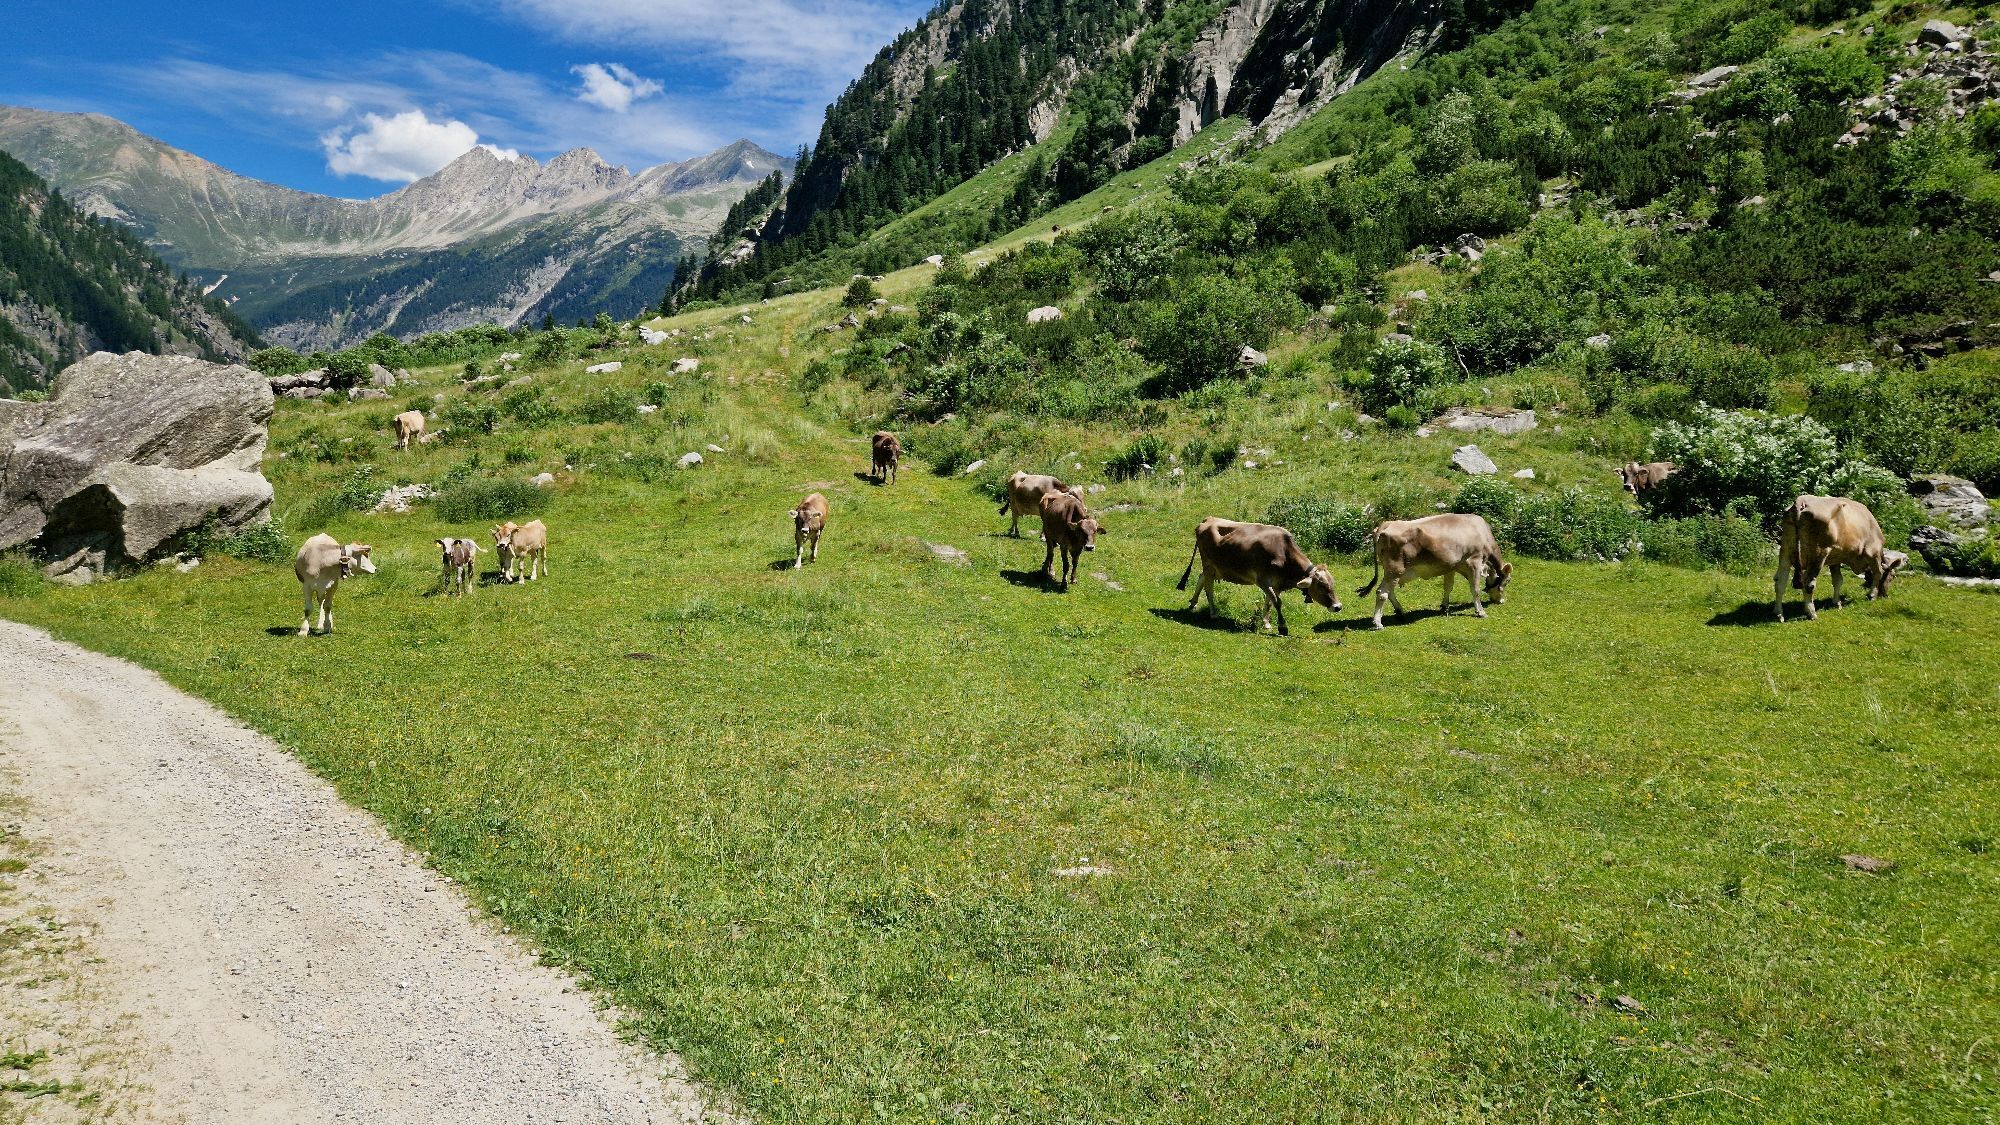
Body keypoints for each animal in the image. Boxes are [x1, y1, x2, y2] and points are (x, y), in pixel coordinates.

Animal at [1176, 518, 1340, 635]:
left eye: (1333, 584)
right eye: (1322, 586)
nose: (1338, 607)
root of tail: (1208, 519)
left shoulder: (1276, 583)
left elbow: (1269, 602)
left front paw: (1266, 623)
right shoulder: (1262, 580)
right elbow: (1277, 602)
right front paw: (1282, 627)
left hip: (1214, 567)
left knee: (1201, 578)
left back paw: (1193, 603)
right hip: (1208, 563)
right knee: (1209, 587)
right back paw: (1213, 613)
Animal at [1357, 514, 1512, 629]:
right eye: (1507, 581)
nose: (1501, 601)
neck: (1481, 533)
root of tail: (1386, 524)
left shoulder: (1451, 566)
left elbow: (1448, 587)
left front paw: (1444, 607)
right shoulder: (1474, 562)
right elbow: (1475, 590)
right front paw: (1480, 612)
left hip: (1392, 571)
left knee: (1389, 592)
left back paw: (1400, 611)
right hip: (1395, 569)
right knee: (1382, 592)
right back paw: (1378, 622)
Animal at [1774, 494, 1907, 622]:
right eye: (1892, 576)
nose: (1885, 595)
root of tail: (1801, 501)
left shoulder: (1835, 559)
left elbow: (1838, 580)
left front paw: (1836, 602)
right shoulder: (1873, 552)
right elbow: (1878, 572)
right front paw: (1872, 595)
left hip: (1785, 550)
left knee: (1780, 581)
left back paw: (1779, 614)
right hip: (1818, 553)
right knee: (1808, 583)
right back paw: (1812, 613)